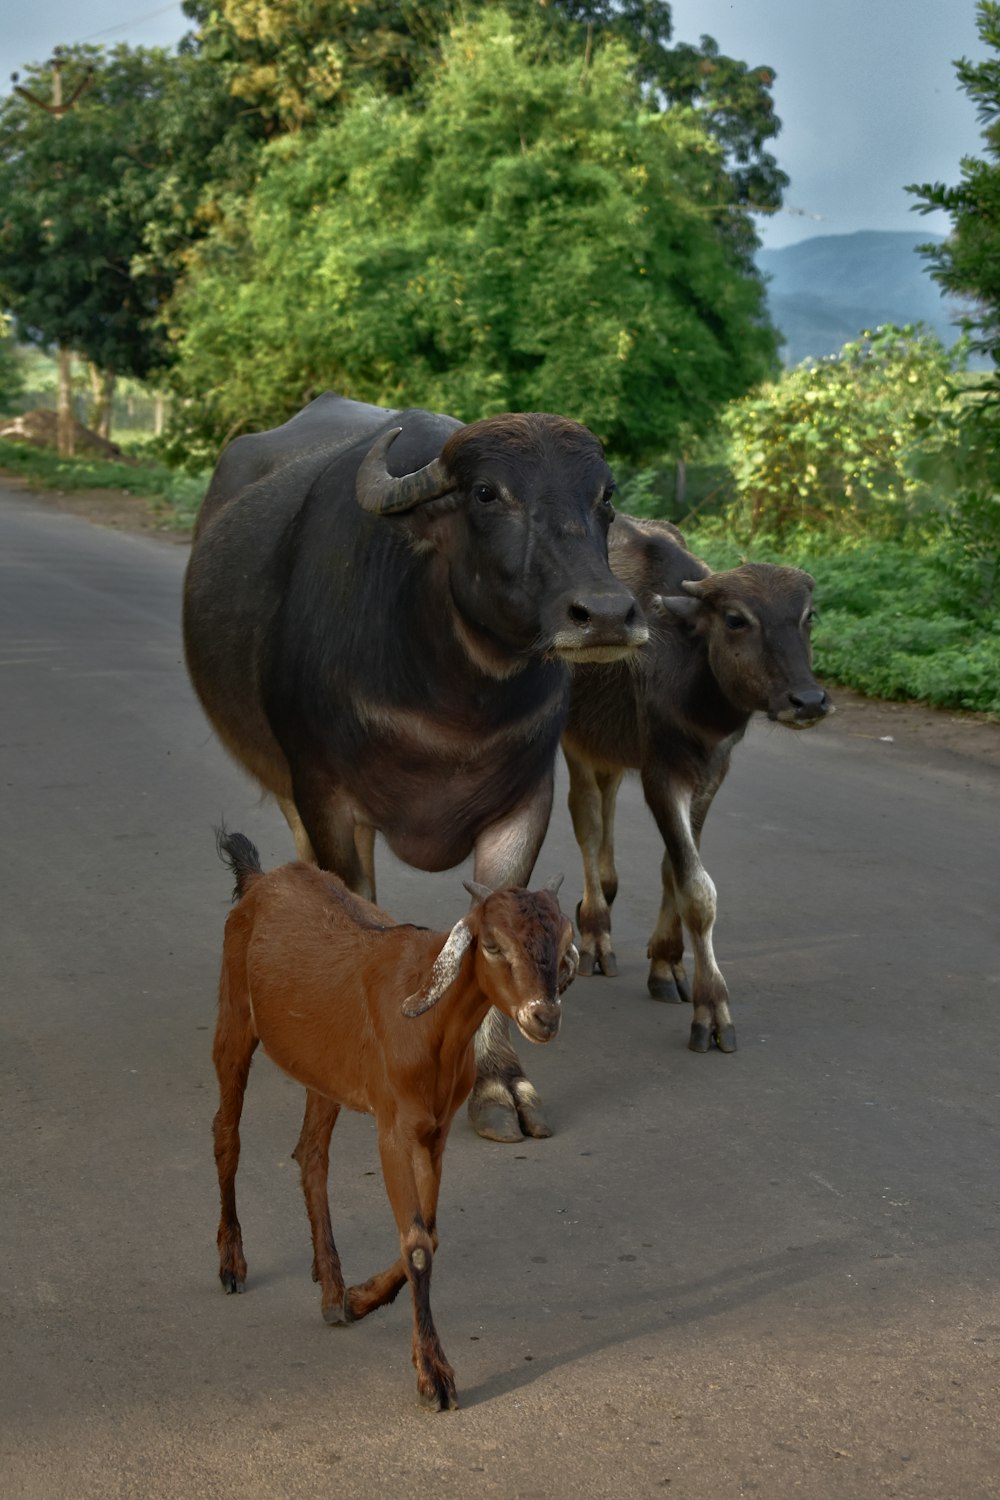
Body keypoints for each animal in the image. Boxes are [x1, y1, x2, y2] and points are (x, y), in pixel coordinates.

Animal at [183, 390, 650, 1134]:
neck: (452, 697)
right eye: (487, 493)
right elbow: (355, 902)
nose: (605, 613)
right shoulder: (325, 793)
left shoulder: (525, 801)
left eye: (603, 495)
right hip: (285, 780)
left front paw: (498, 1081)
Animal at [211, 834, 578, 1404]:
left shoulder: (435, 1130)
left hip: (324, 1069)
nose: (544, 1017)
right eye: (493, 945)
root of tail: (260, 880)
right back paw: (232, 1263)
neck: (433, 1027)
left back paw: (332, 1287)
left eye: (562, 942)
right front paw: (434, 1374)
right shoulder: (394, 1128)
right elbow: (418, 1244)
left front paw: (360, 1298)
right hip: (233, 1017)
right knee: (226, 1135)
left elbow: (430, 1233)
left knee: (310, 1153)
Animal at [563, 516, 827, 1056]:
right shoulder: (662, 775)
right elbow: (698, 890)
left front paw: (667, 963)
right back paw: (596, 932)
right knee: (587, 821)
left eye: (807, 616)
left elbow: (674, 868)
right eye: (736, 619)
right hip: (573, 737)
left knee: (605, 800)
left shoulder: (711, 773)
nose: (809, 701)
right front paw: (713, 1008)